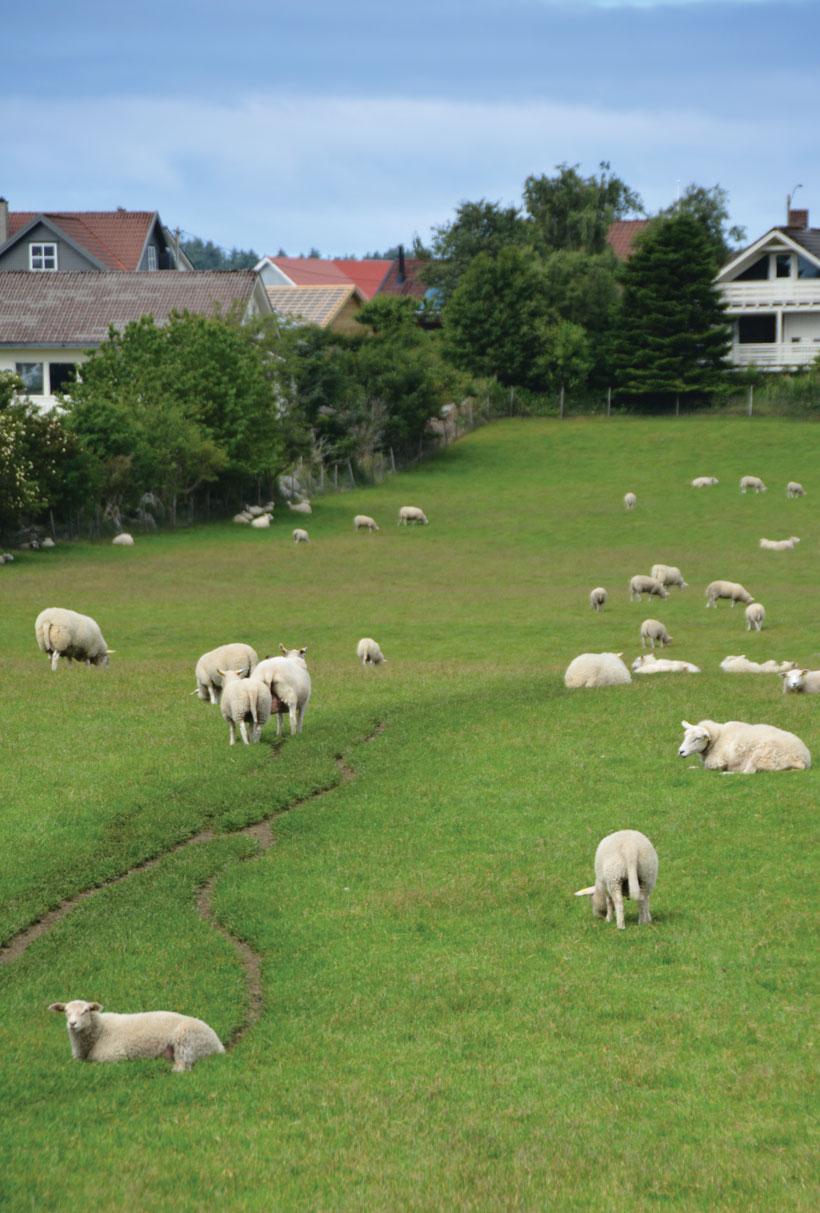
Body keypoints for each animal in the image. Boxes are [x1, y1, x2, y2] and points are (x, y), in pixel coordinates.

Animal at [50, 999, 224, 1077]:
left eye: (85, 1011)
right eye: (66, 1011)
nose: (72, 1024)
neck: (100, 1030)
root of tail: (218, 1045)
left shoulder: (114, 1055)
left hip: (186, 1039)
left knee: (183, 1067)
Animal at [674, 713, 810, 771]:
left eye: (697, 738)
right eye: (685, 735)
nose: (681, 752)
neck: (719, 737)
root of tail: (803, 759)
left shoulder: (717, 762)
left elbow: (705, 768)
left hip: (760, 756)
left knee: (747, 773)